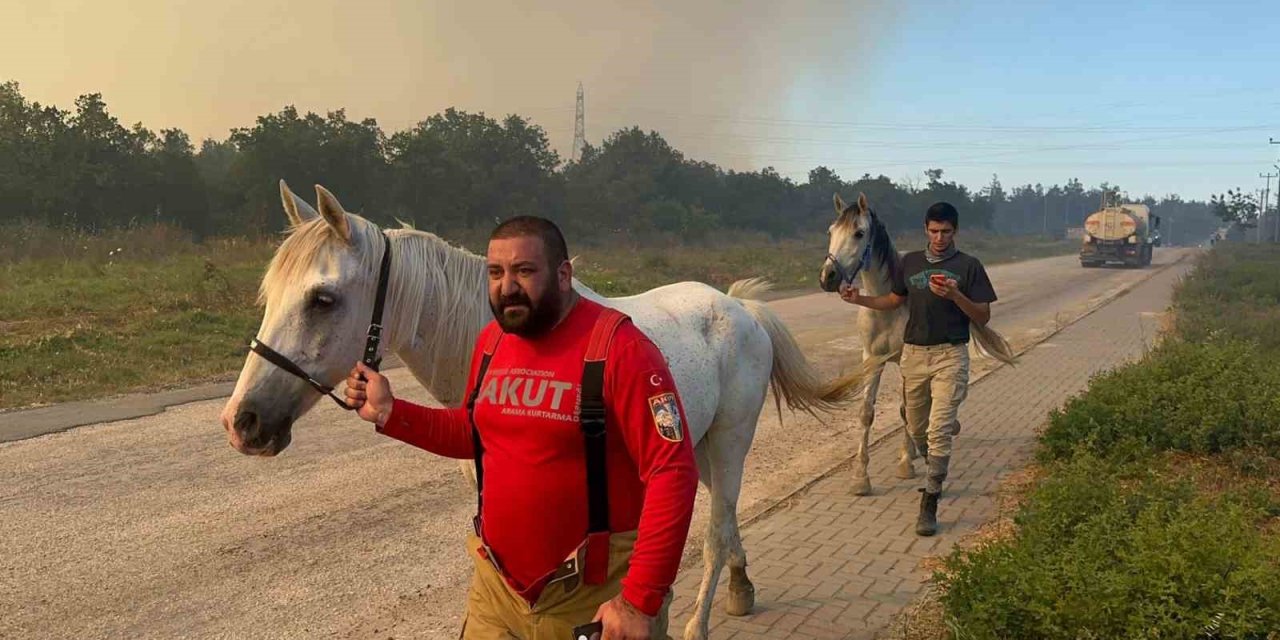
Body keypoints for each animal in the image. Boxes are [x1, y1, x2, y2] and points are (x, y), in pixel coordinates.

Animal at [222, 180, 870, 640]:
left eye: (323, 298)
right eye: (269, 294)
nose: (241, 423)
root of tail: (738, 308)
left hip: (729, 441)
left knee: (713, 531)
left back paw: (699, 621)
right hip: (702, 446)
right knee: (728, 520)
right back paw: (740, 588)